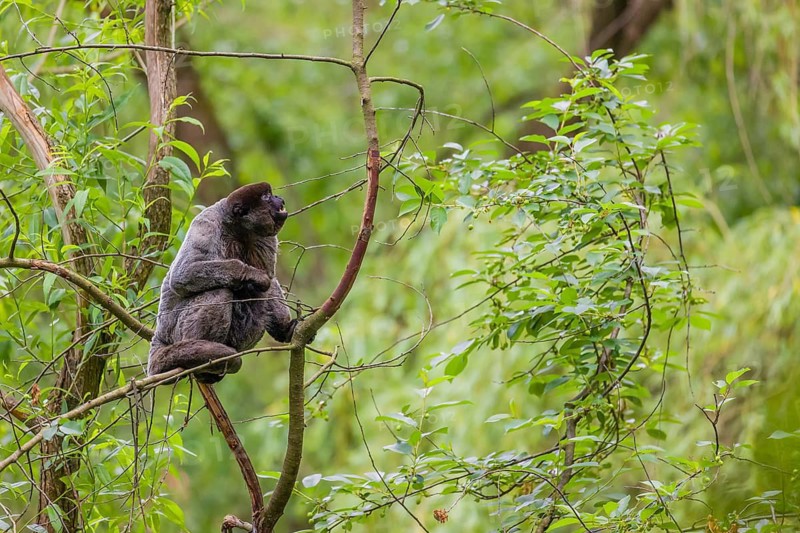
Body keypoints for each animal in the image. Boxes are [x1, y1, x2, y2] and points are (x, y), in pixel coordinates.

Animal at [147, 182, 298, 384]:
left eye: (271, 194)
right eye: (266, 197)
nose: (279, 198)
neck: (239, 230)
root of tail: (160, 334)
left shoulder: (266, 237)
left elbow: (271, 280)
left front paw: (284, 329)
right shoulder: (207, 223)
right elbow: (182, 274)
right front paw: (250, 274)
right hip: (175, 331)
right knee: (220, 291)